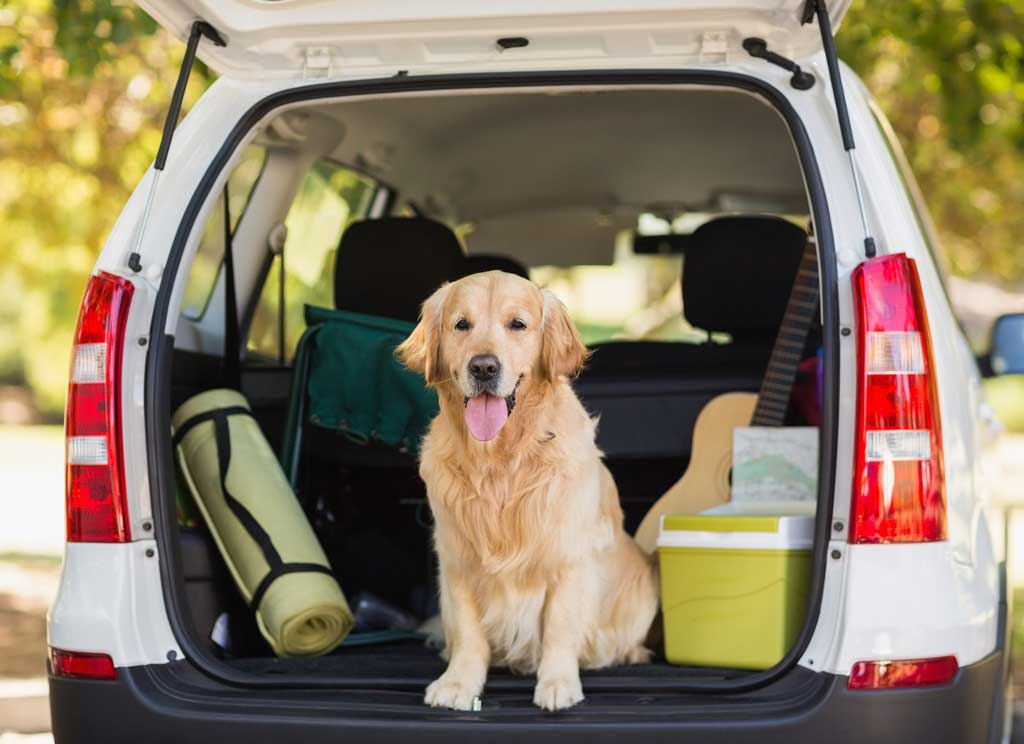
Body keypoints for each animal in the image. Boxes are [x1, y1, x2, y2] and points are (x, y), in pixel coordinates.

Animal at [395, 272, 659, 708]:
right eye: (461, 324)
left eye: (517, 324)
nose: (484, 366)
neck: (500, 461)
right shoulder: (456, 558)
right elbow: (467, 632)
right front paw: (458, 683)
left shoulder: (569, 557)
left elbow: (559, 627)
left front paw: (558, 683)